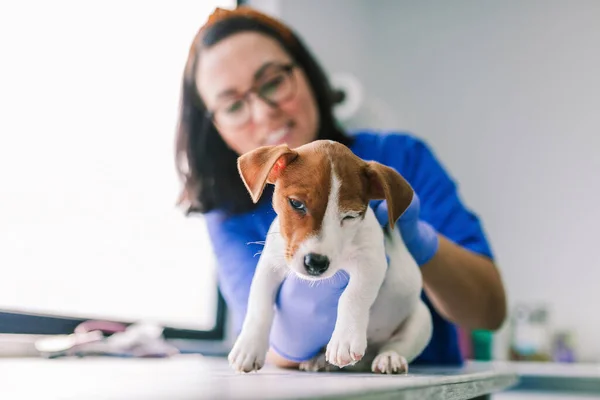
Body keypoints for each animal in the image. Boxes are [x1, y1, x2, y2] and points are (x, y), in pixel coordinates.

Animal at [229, 140, 432, 376]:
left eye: (350, 216)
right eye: (296, 204)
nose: (316, 263)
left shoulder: (371, 261)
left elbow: (352, 296)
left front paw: (345, 340)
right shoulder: (270, 264)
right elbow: (259, 304)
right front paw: (248, 348)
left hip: (421, 319)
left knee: (397, 344)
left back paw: (389, 358)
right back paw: (319, 361)